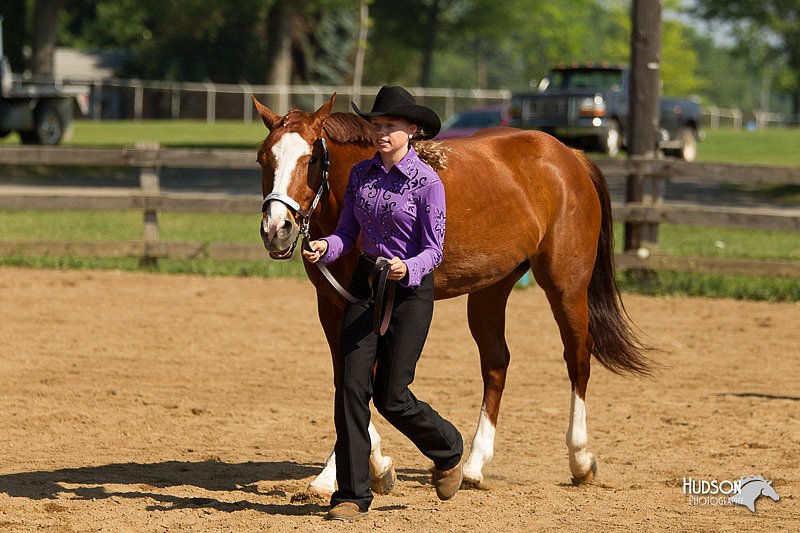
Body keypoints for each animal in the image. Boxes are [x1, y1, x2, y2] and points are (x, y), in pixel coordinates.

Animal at [255, 93, 648, 496]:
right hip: (492, 288)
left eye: (312, 160)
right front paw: (337, 474)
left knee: (578, 357)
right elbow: (344, 378)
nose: (276, 230)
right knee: (496, 362)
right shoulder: (333, 305)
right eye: (263, 158)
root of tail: (570, 156)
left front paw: (375, 468)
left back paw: (580, 461)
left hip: (566, 285)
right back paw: (474, 465)